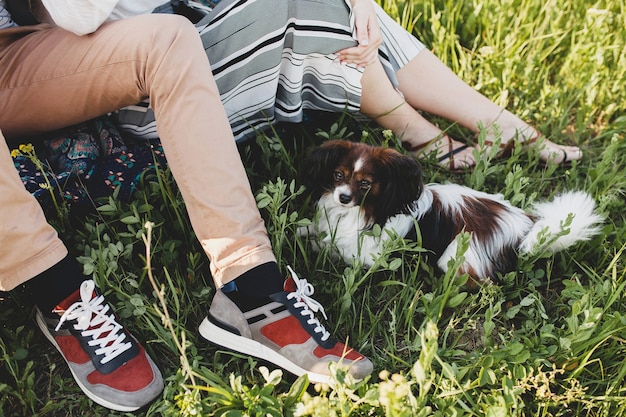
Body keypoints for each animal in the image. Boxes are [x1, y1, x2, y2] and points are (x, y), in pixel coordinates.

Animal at [300, 140, 604, 286]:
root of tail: (524, 225)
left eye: (365, 184)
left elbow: (330, 247)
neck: (370, 209)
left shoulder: (367, 255)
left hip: (456, 257)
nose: (343, 197)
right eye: (338, 175)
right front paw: (303, 231)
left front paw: (314, 245)